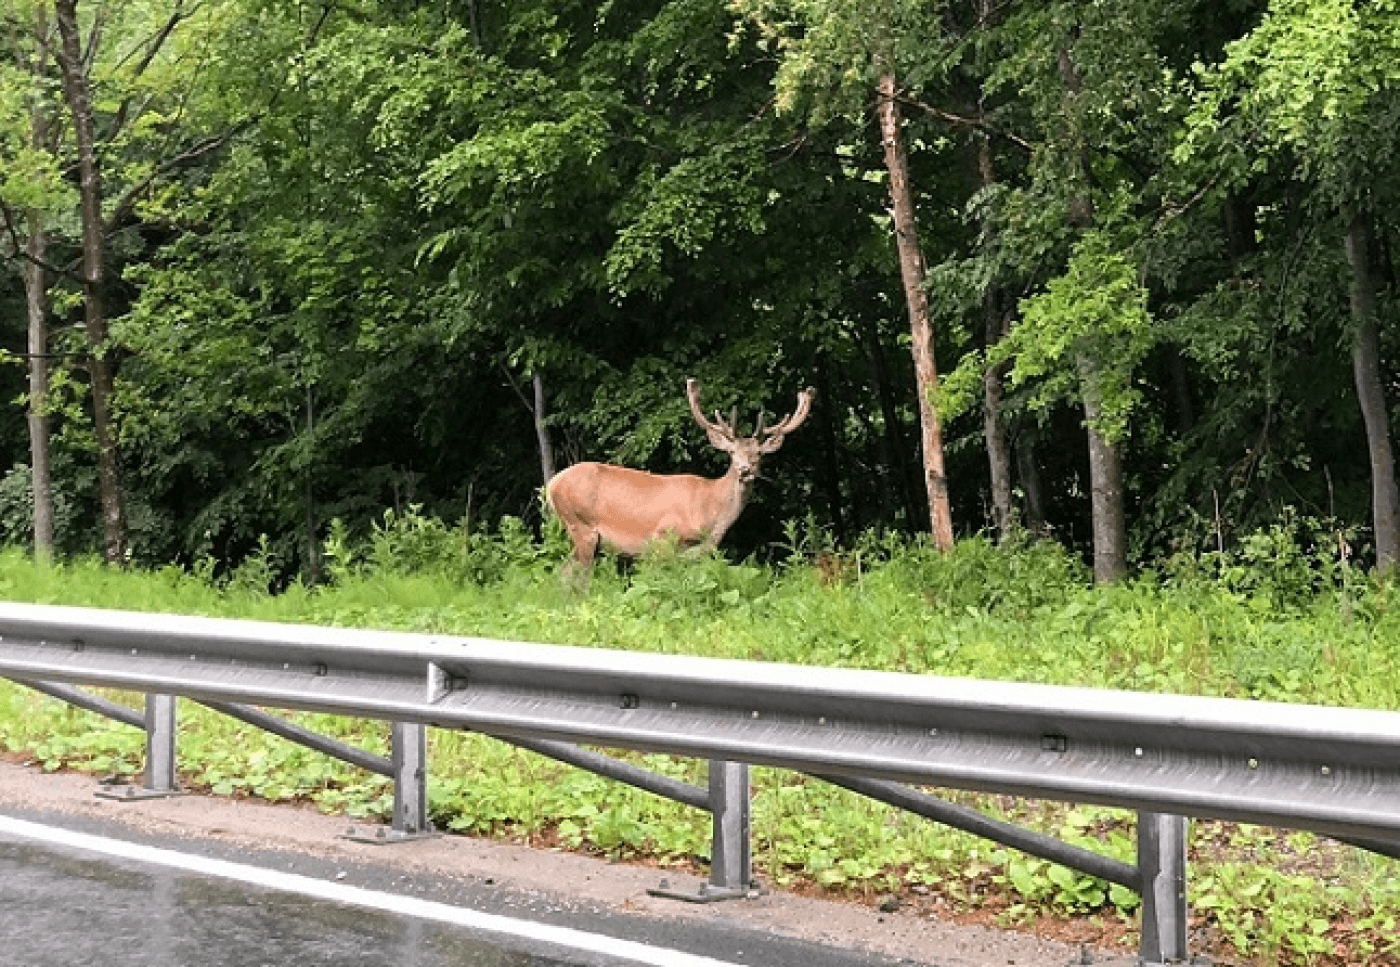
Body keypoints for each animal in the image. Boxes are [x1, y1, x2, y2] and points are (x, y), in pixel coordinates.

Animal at [540, 377, 817, 570]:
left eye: (759, 454)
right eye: (731, 453)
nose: (745, 470)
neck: (712, 513)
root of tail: (551, 485)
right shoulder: (664, 538)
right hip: (581, 525)